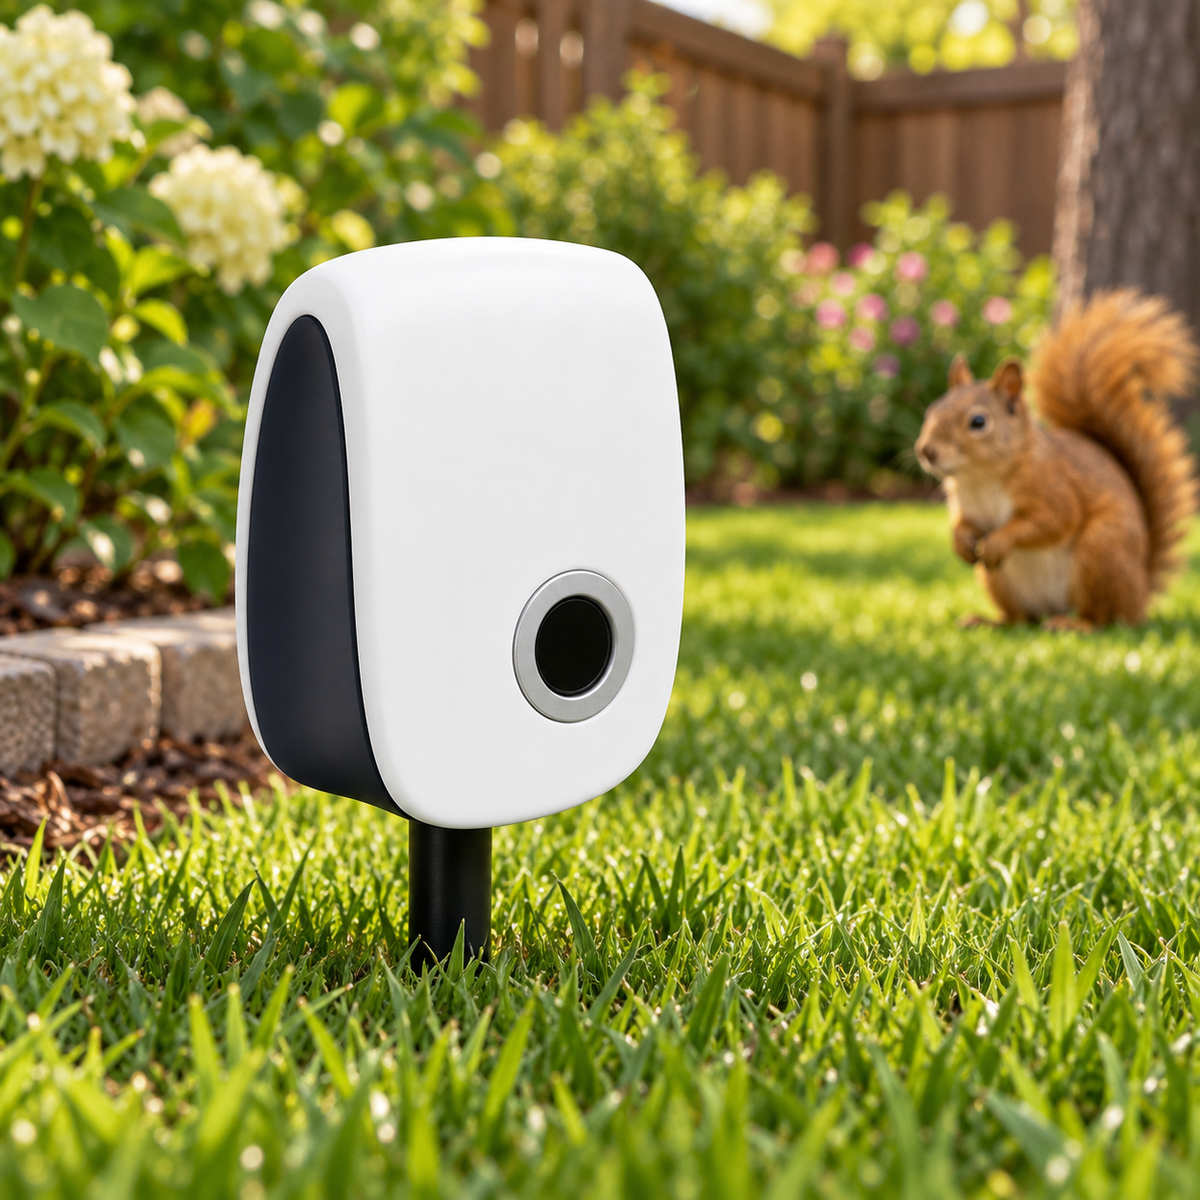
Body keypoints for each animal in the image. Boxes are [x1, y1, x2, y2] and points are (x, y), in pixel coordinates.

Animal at [914, 289, 1198, 629]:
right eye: (932, 411)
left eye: (978, 422)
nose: (926, 451)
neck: (981, 477)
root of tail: (1141, 591)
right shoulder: (964, 504)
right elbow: (961, 522)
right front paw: (960, 541)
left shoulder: (1053, 488)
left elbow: (1051, 521)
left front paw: (998, 542)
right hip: (999, 582)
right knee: (1021, 619)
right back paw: (988, 621)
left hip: (1101, 552)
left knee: (1106, 618)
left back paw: (1076, 625)